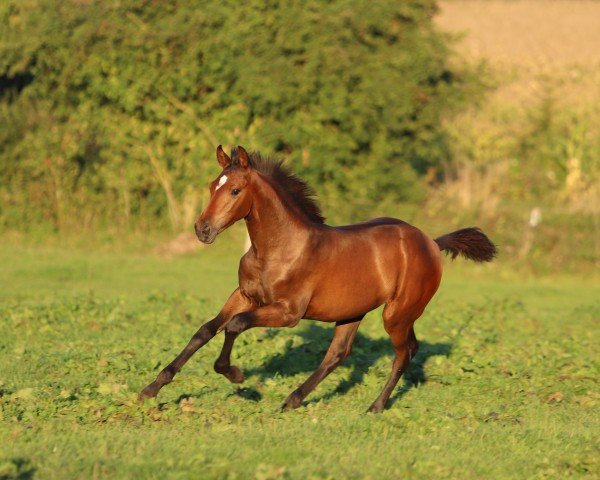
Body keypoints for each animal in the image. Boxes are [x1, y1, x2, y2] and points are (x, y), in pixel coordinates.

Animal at [141, 144, 496, 410]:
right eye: (211, 187)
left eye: (235, 190)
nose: (202, 230)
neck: (278, 248)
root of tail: (432, 243)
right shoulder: (243, 295)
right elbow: (205, 330)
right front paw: (152, 388)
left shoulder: (288, 313)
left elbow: (235, 325)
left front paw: (235, 375)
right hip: (352, 311)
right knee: (338, 353)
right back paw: (293, 400)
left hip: (398, 313)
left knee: (405, 351)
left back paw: (375, 406)